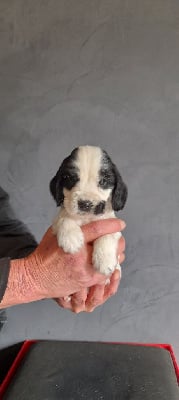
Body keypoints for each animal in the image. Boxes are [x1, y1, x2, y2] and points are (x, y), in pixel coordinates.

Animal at [49, 146, 127, 276]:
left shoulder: (113, 225)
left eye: (103, 181)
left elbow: (107, 235)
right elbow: (64, 217)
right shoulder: (55, 224)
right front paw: (70, 238)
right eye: (70, 178)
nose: (85, 204)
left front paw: (104, 260)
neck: (87, 218)